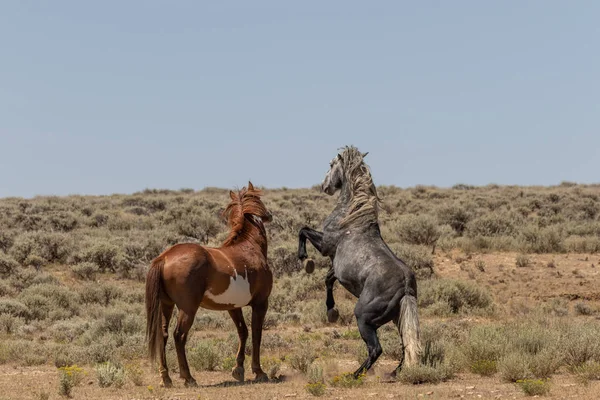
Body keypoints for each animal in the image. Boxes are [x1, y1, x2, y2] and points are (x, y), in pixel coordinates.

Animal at [146, 182, 274, 388]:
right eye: (259, 199)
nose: (270, 215)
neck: (249, 247)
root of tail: (164, 257)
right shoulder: (261, 303)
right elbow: (256, 334)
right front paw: (259, 371)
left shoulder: (233, 307)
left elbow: (243, 332)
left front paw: (238, 369)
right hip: (188, 309)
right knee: (179, 336)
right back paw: (188, 377)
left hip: (166, 305)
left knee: (163, 335)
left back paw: (166, 378)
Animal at [296, 146, 420, 378]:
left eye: (331, 164)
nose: (325, 186)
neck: (353, 216)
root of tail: (406, 285)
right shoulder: (337, 266)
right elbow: (328, 280)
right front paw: (331, 312)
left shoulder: (326, 245)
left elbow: (303, 230)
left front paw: (305, 260)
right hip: (398, 318)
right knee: (407, 345)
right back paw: (394, 373)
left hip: (364, 318)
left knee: (376, 349)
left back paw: (354, 375)